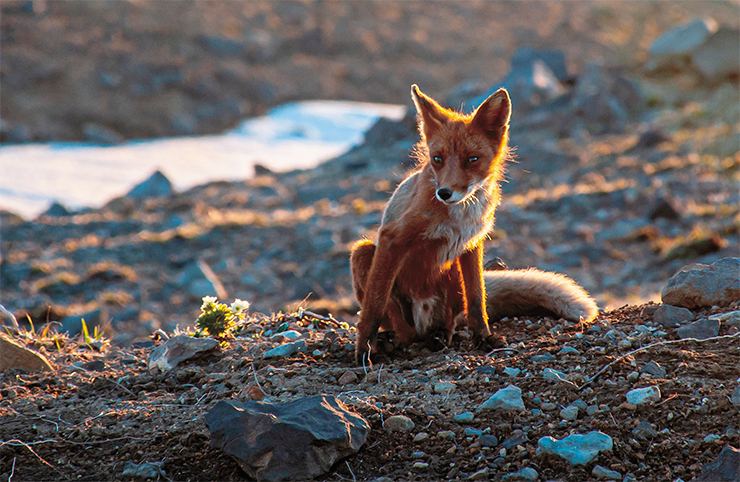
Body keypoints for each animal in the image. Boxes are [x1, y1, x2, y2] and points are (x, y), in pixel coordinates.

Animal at [350, 85, 598, 364]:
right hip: (363, 252)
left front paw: (483, 338)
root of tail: (425, 321)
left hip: (451, 280)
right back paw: (395, 341)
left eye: (472, 159)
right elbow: (374, 304)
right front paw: (364, 350)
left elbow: (477, 298)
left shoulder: (471, 244)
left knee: (450, 321)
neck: (459, 217)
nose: (444, 193)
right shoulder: (393, 236)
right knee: (405, 330)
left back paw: (439, 336)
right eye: (437, 159)